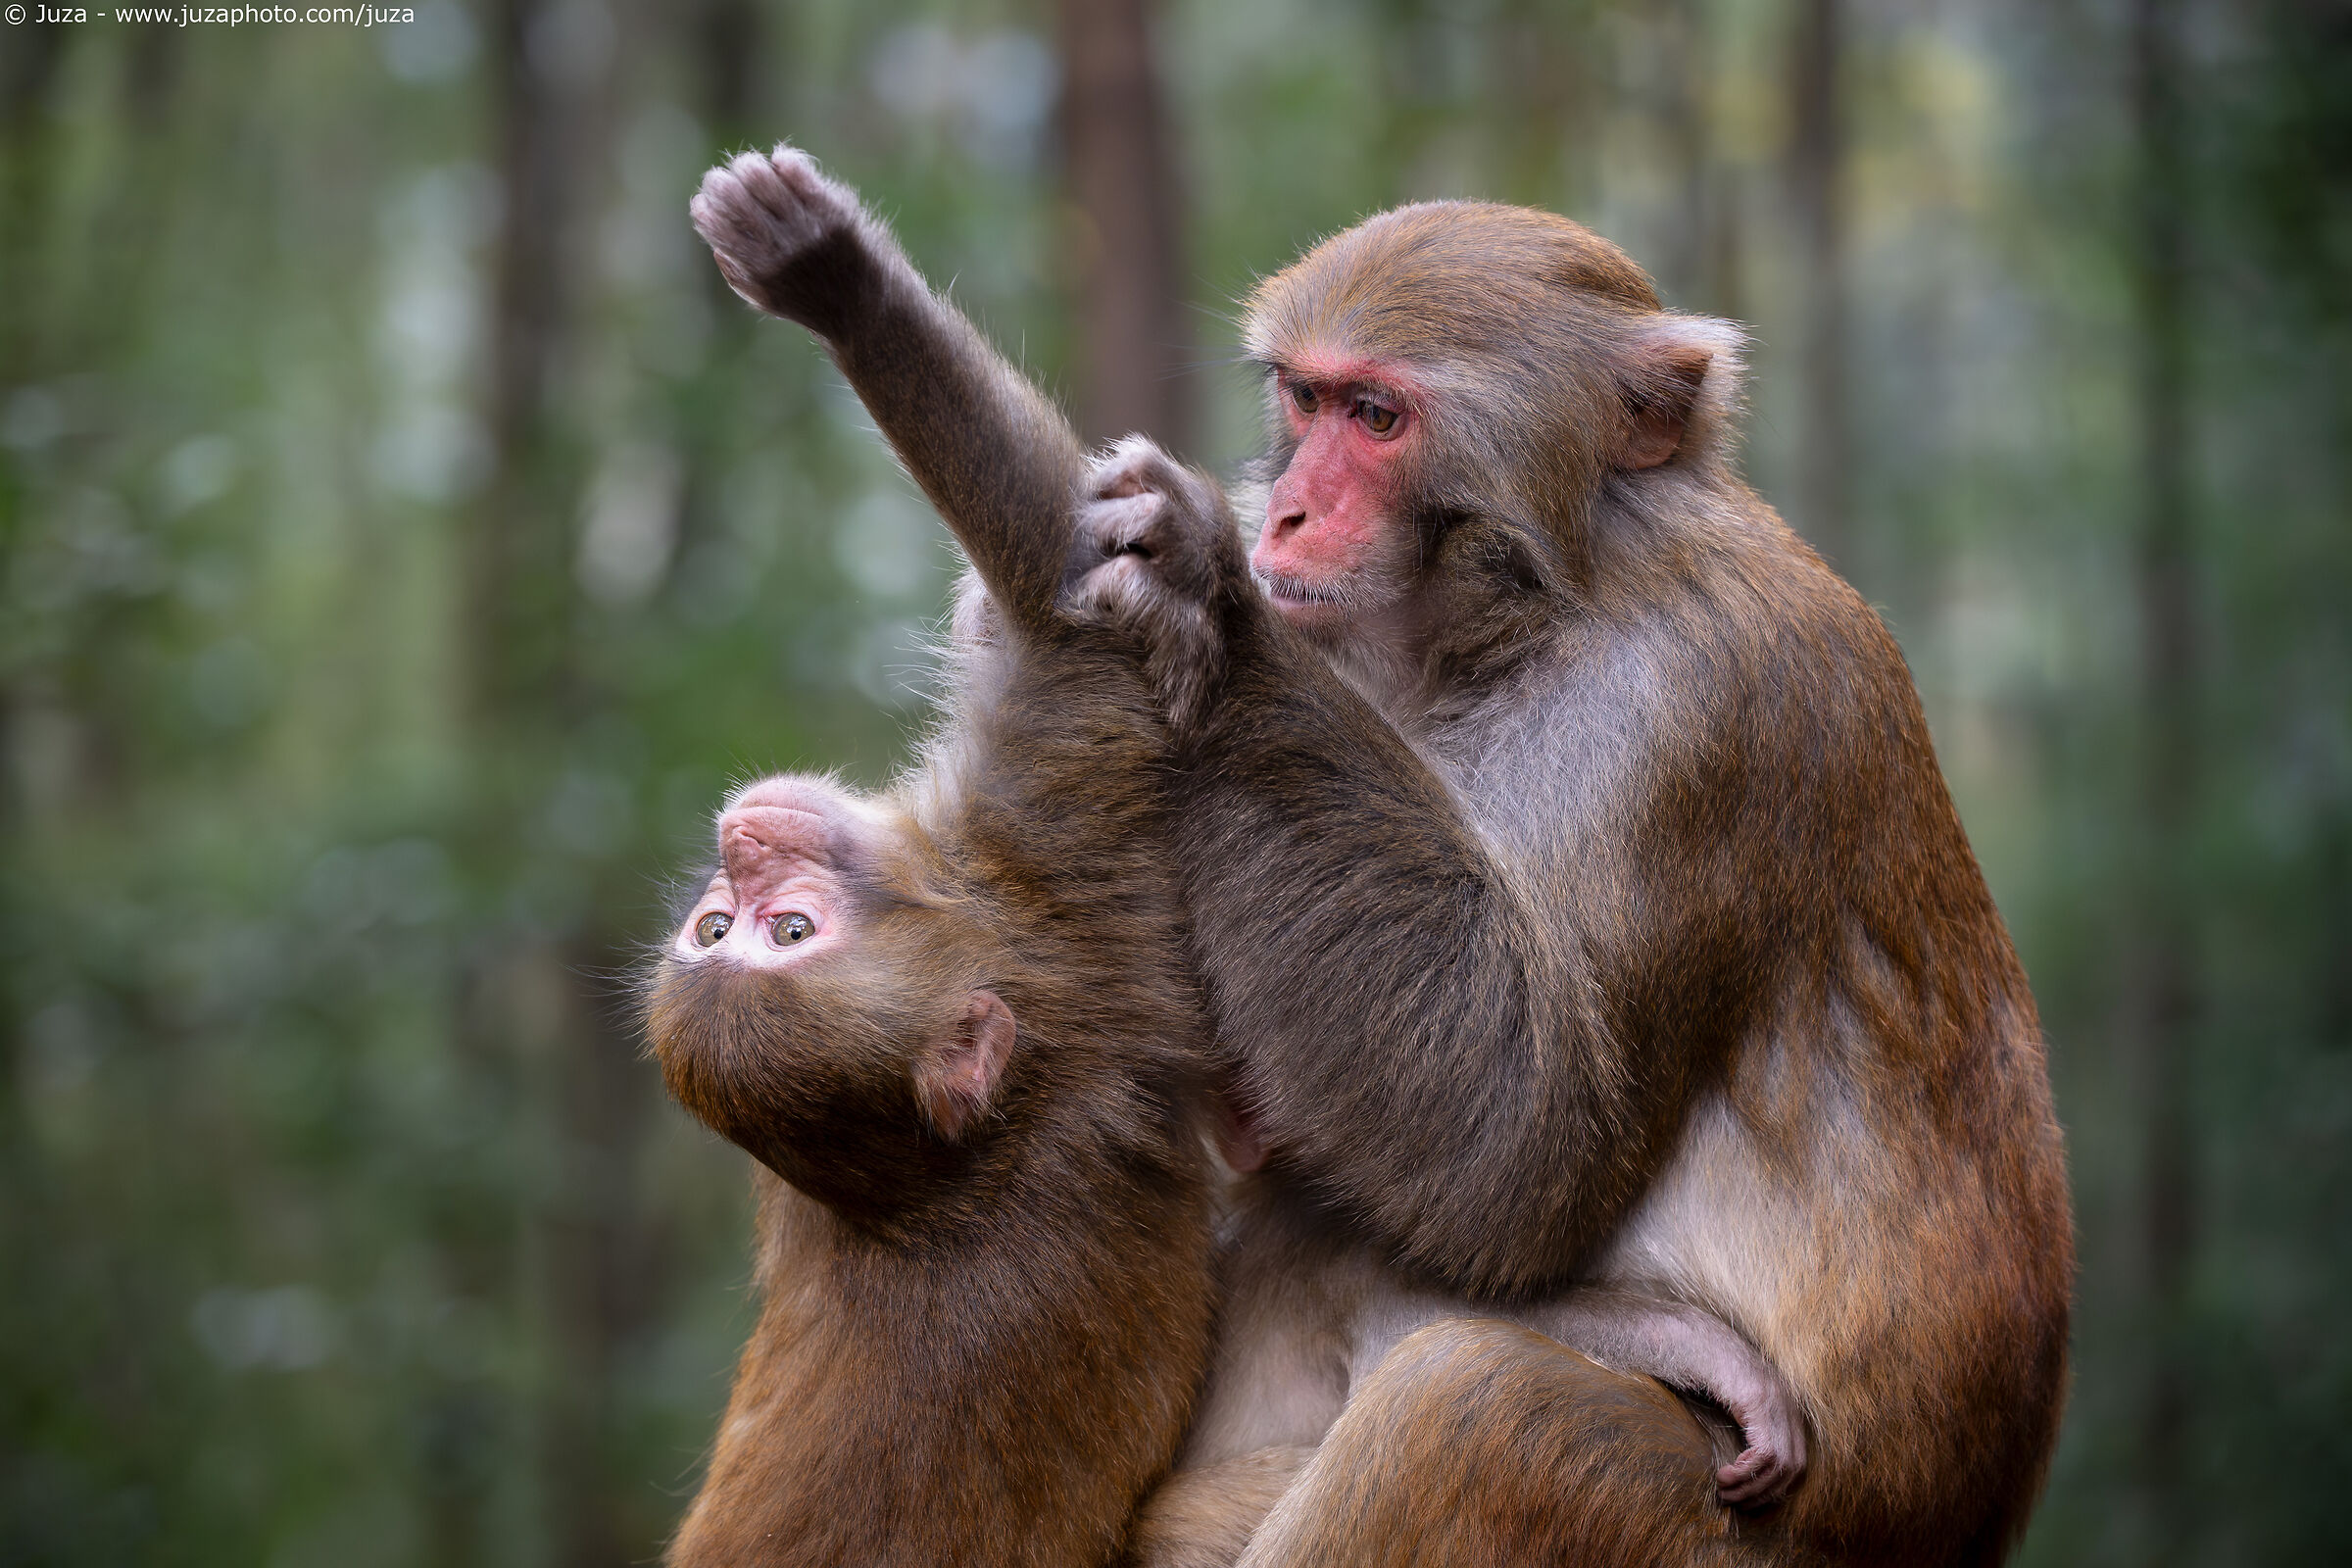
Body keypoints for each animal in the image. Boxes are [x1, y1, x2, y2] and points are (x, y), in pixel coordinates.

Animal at [1050, 202, 2074, 1567]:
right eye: (1305, 399)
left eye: (1377, 417)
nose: (1284, 519)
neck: (1559, 596)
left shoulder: (1682, 716)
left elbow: (1519, 1143)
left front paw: (1203, 593)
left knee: (1476, 1403)